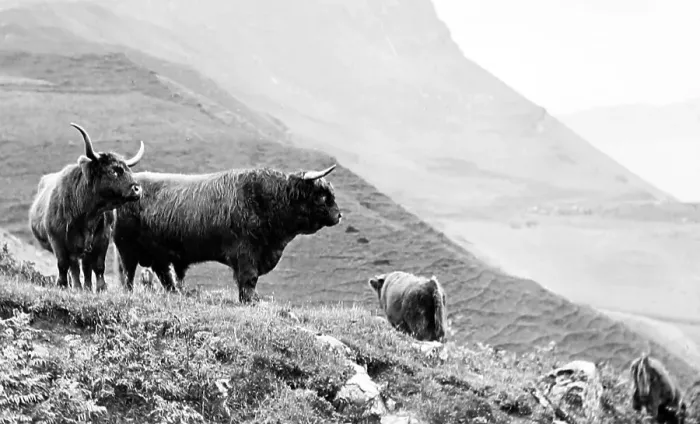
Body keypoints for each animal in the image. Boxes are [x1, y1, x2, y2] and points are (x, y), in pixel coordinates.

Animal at [28, 123, 146, 291]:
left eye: (129, 170)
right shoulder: (57, 239)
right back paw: (76, 286)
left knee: (84, 267)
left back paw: (87, 287)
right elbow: (63, 265)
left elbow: (98, 266)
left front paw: (101, 288)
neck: (87, 214)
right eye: (113, 171)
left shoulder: (102, 239)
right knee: (73, 267)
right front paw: (63, 285)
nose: (137, 189)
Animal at [112, 164, 342, 303]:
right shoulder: (246, 254)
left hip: (157, 254)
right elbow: (248, 280)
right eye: (323, 196)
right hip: (126, 248)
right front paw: (250, 301)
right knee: (128, 275)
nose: (339, 215)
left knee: (164, 275)